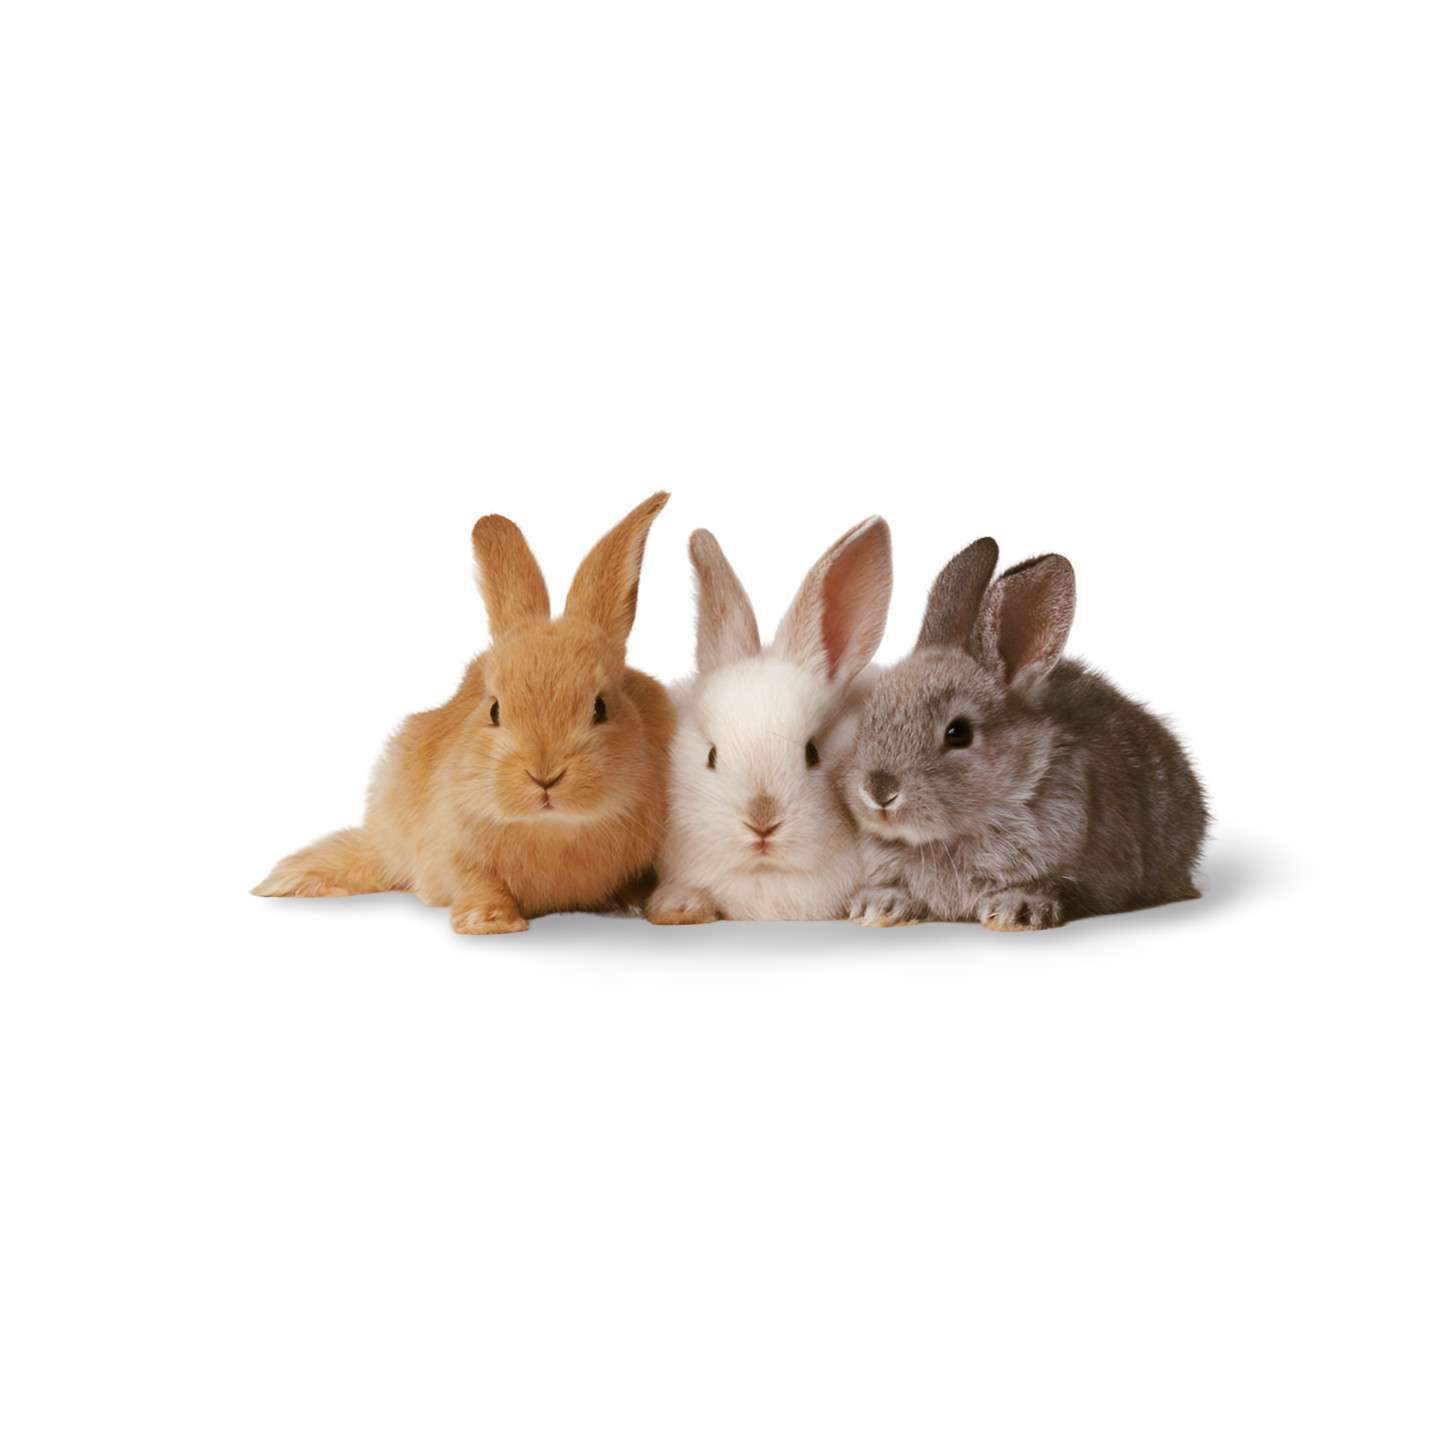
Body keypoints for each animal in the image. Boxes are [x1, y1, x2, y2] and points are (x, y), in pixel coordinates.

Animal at [253, 493, 676, 934]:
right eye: (494, 709)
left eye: (600, 707)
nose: (544, 775)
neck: (554, 829)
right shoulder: (453, 847)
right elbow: (476, 881)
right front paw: (488, 921)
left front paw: (641, 904)